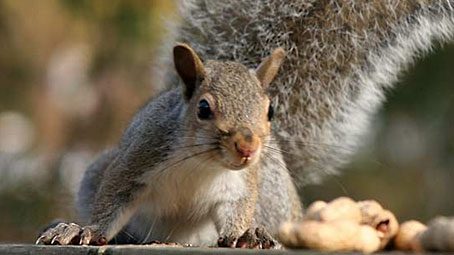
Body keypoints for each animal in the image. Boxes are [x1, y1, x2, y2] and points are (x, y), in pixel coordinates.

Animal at [36, 0, 454, 249]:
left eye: (270, 111)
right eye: (204, 108)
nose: (248, 148)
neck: (200, 164)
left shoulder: (240, 187)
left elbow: (235, 213)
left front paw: (244, 235)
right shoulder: (139, 157)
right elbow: (112, 201)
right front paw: (83, 231)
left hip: (271, 193)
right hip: (96, 172)